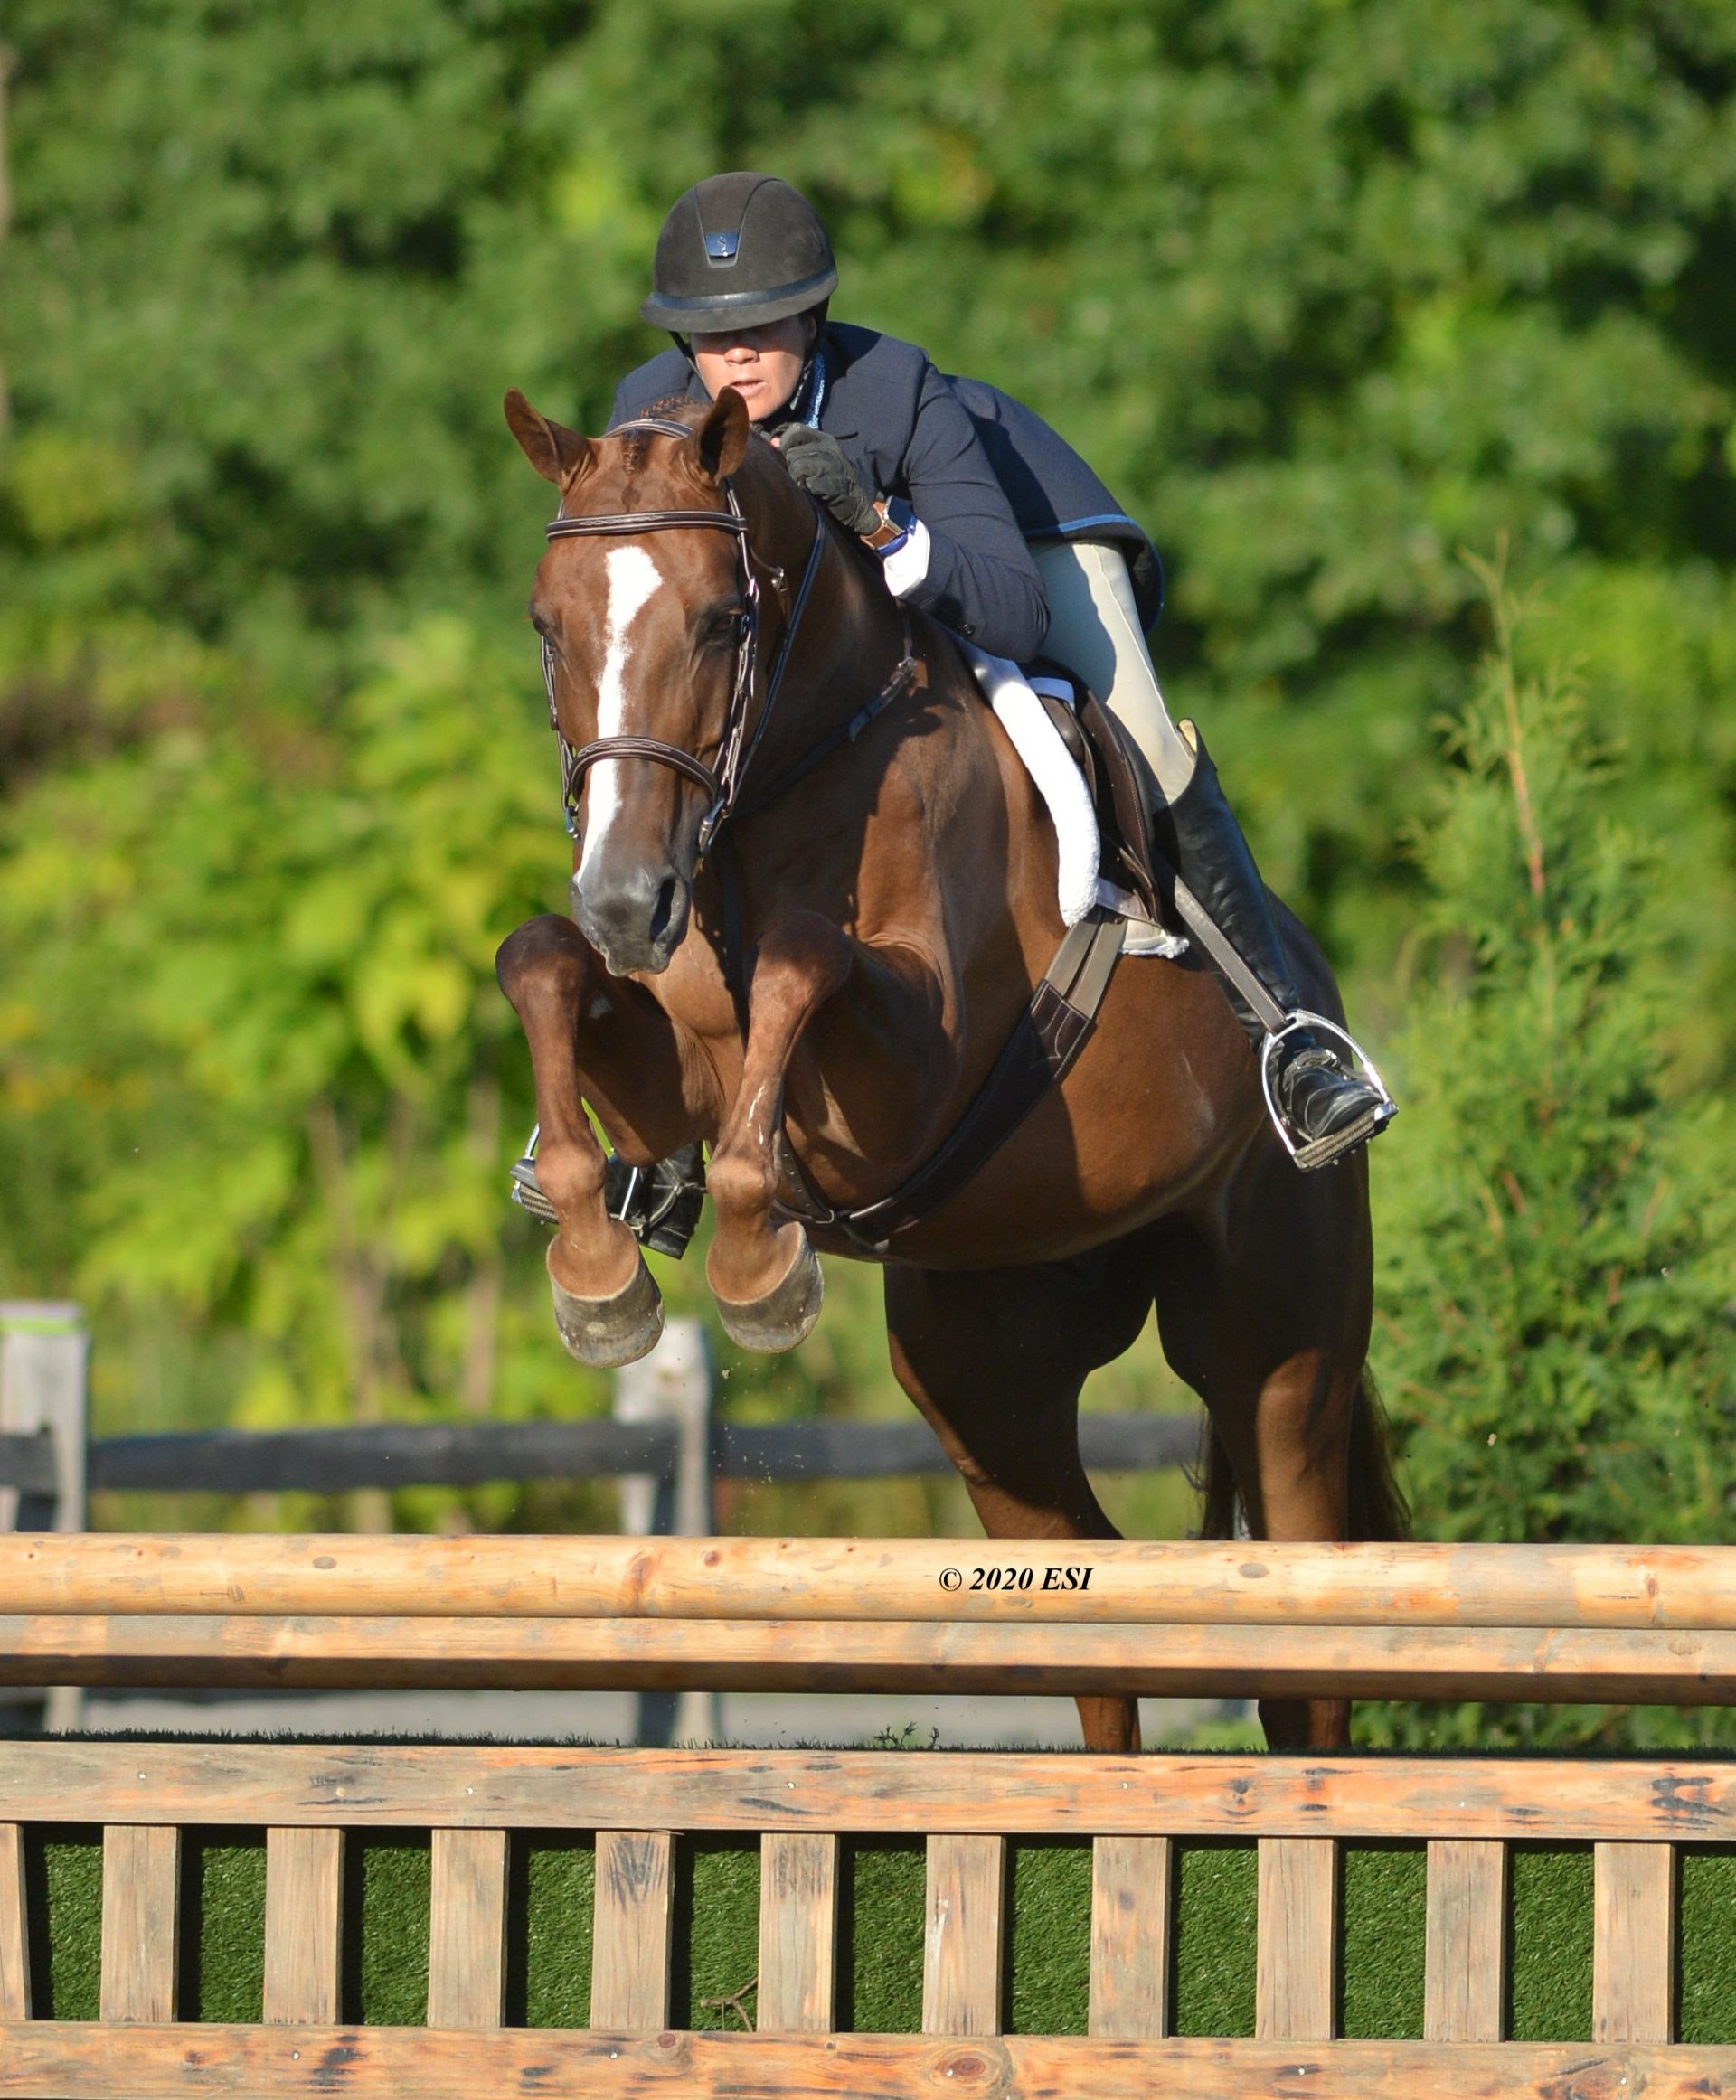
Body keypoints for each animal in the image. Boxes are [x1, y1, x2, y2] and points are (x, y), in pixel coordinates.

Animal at [495, 384, 1406, 1753]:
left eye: (720, 621)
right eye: (549, 627)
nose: (624, 900)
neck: (792, 764)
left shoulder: (908, 1080)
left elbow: (804, 960)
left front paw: (761, 1269)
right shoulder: (669, 1073)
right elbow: (539, 963)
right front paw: (600, 1272)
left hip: (1279, 1346)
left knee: (1304, 1615)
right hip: (987, 1369)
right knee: (1083, 1589)